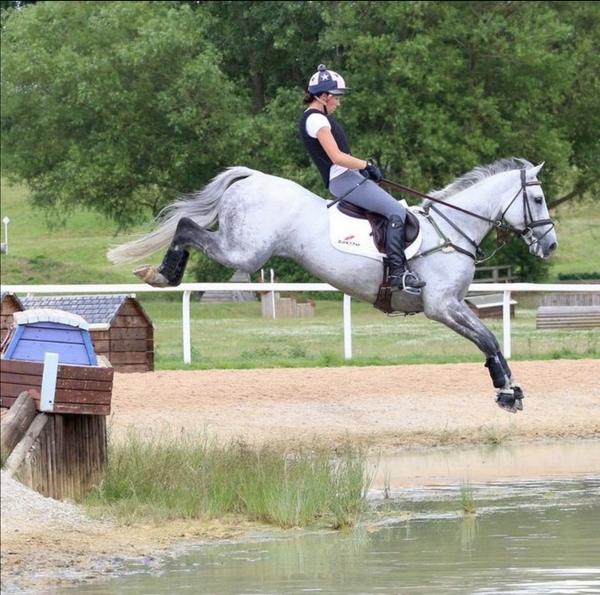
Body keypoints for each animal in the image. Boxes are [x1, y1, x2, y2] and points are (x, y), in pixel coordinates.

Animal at [109, 159, 556, 414]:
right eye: (537, 199)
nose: (550, 245)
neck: (454, 229)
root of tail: (253, 178)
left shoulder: (452, 306)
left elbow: (488, 337)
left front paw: (509, 387)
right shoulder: (442, 306)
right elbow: (489, 338)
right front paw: (507, 391)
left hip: (244, 250)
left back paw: (161, 273)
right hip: (245, 253)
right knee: (188, 227)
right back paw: (164, 274)